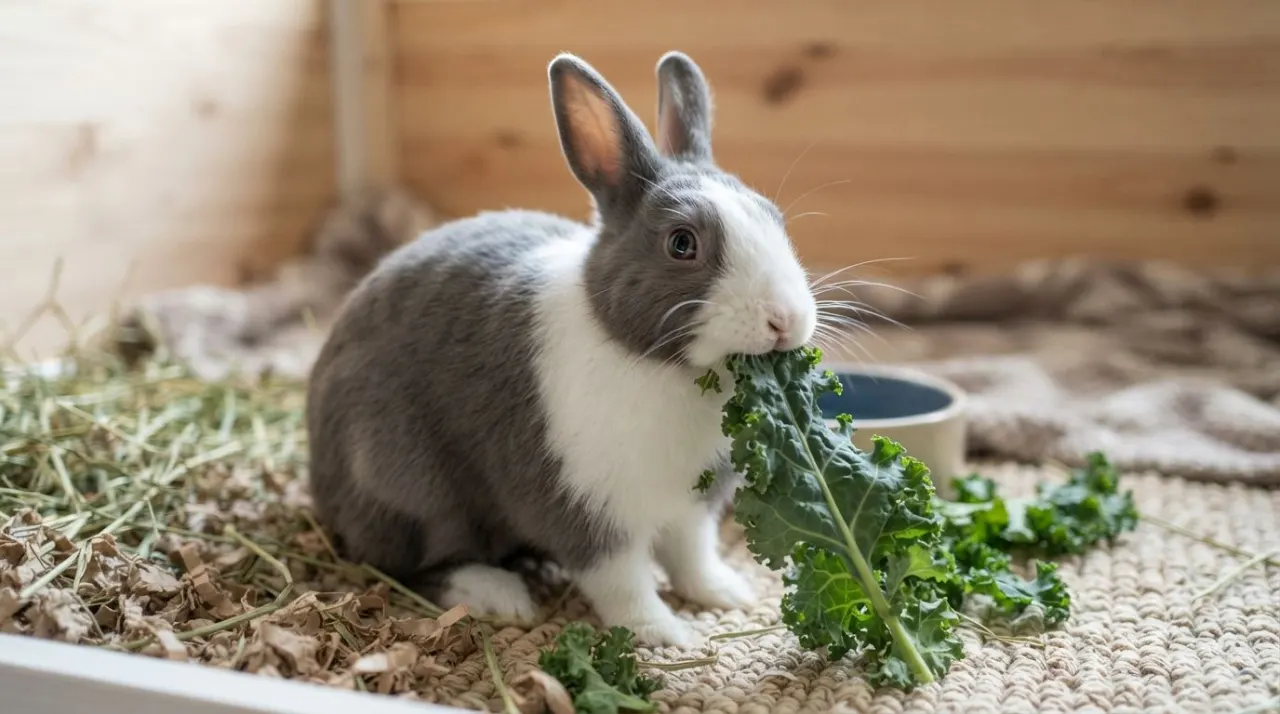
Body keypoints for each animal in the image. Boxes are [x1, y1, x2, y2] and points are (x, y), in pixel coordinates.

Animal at [305, 51, 818, 648]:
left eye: (773, 217)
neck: (658, 365)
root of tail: (321, 479)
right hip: (408, 486)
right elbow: (623, 582)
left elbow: (692, 555)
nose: (786, 320)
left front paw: (726, 595)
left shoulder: (691, 507)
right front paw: (664, 634)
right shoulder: (586, 511)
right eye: (681, 243)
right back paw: (498, 594)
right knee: (402, 565)